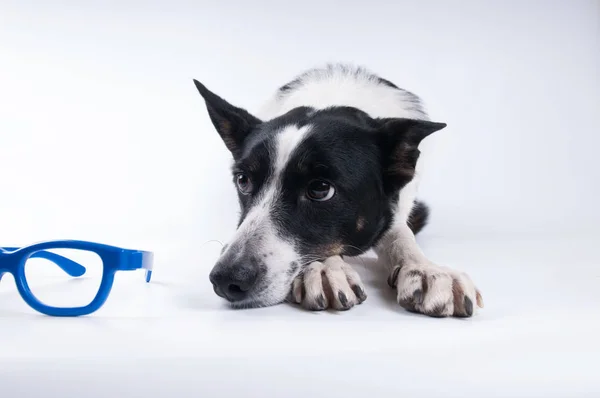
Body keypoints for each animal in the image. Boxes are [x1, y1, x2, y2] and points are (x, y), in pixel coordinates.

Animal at [192, 63, 482, 318]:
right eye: (243, 180)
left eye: (321, 189)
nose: (225, 280)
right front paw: (324, 270)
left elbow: (400, 234)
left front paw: (427, 271)